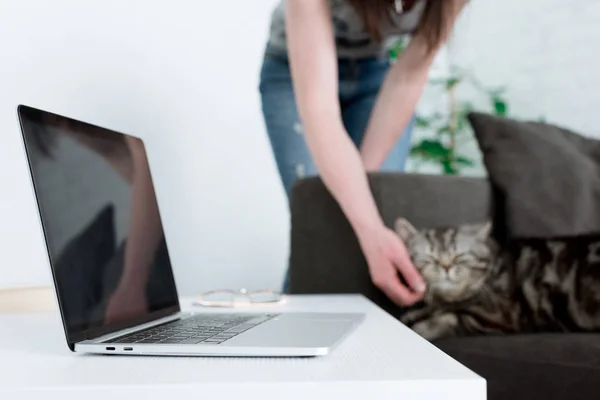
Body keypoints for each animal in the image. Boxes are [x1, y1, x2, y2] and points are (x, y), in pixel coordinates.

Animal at [394, 219, 600, 340]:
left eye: (460, 256)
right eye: (430, 258)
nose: (446, 266)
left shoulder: (500, 317)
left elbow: (452, 318)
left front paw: (423, 327)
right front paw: (413, 315)